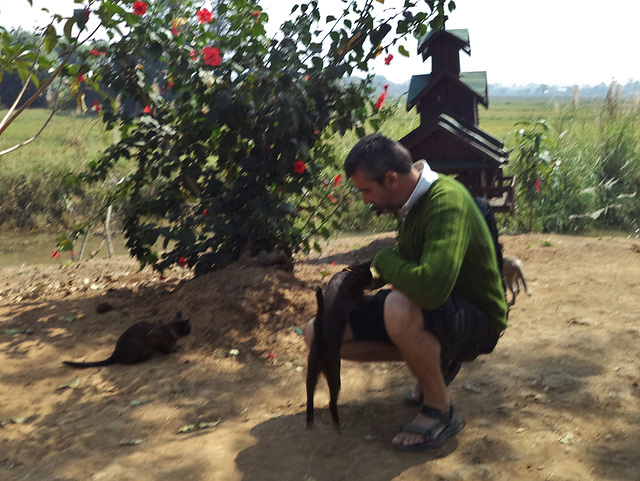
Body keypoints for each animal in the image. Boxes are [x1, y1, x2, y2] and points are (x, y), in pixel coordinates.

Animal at [63, 312, 191, 368]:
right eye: (189, 328)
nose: (191, 331)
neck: (170, 330)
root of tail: (115, 352)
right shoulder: (152, 337)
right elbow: (163, 348)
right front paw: (170, 351)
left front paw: (175, 348)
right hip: (139, 347)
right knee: (127, 361)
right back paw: (143, 358)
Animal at [306, 262, 372, 428]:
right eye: (370, 274)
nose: (371, 281)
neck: (350, 272)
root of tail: (321, 341)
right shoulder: (360, 298)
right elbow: (367, 299)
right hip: (334, 372)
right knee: (331, 401)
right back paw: (337, 425)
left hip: (311, 371)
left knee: (309, 397)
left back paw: (310, 422)